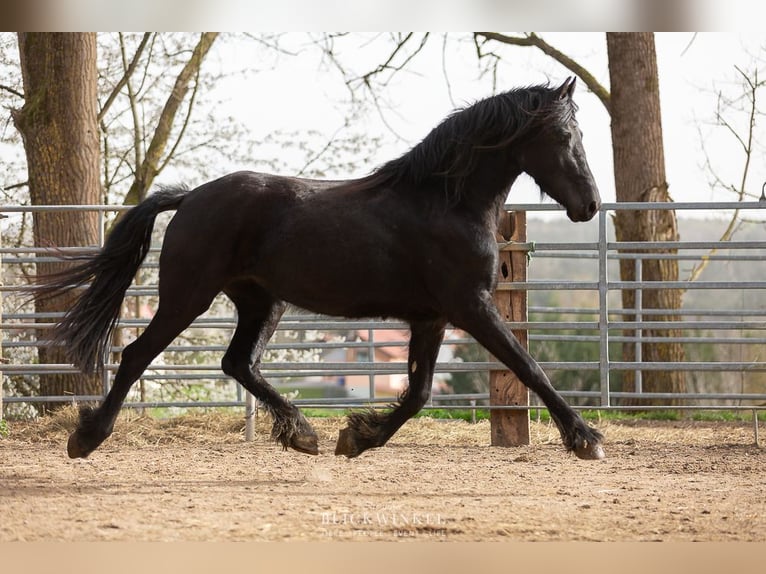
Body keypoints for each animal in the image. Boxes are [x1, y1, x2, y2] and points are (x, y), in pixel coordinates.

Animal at [34, 77, 608, 464]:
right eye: (564, 136)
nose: (590, 205)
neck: (445, 201)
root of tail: (191, 196)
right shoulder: (471, 306)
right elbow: (527, 367)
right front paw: (585, 439)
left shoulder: (432, 318)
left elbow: (419, 393)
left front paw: (357, 437)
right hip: (189, 295)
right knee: (137, 355)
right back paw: (86, 438)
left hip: (261, 302)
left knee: (238, 363)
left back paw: (302, 432)